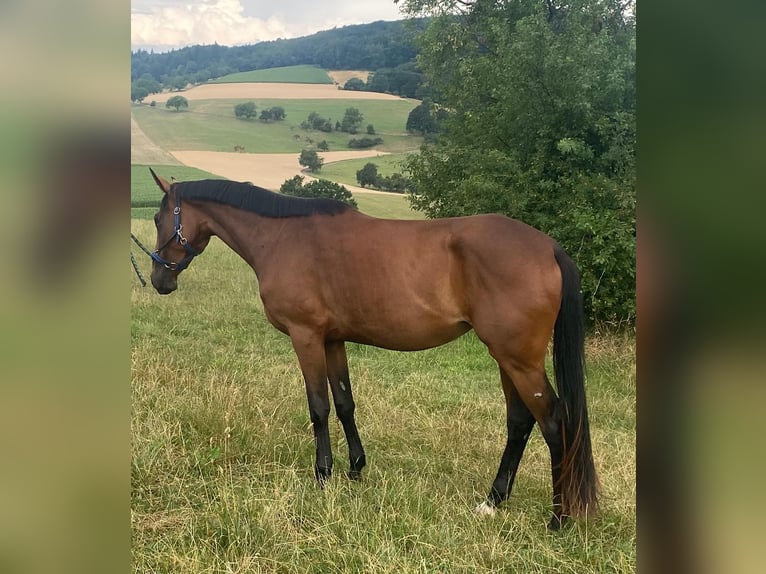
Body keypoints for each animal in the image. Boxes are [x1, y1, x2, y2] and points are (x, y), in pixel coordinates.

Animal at [145, 168, 599, 529]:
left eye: (156, 217)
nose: (158, 280)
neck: (282, 236)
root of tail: (548, 248)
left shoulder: (306, 336)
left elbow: (318, 407)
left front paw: (322, 475)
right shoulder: (332, 340)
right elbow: (345, 403)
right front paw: (355, 469)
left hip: (520, 361)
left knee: (554, 422)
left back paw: (558, 517)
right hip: (507, 358)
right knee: (520, 422)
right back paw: (493, 501)